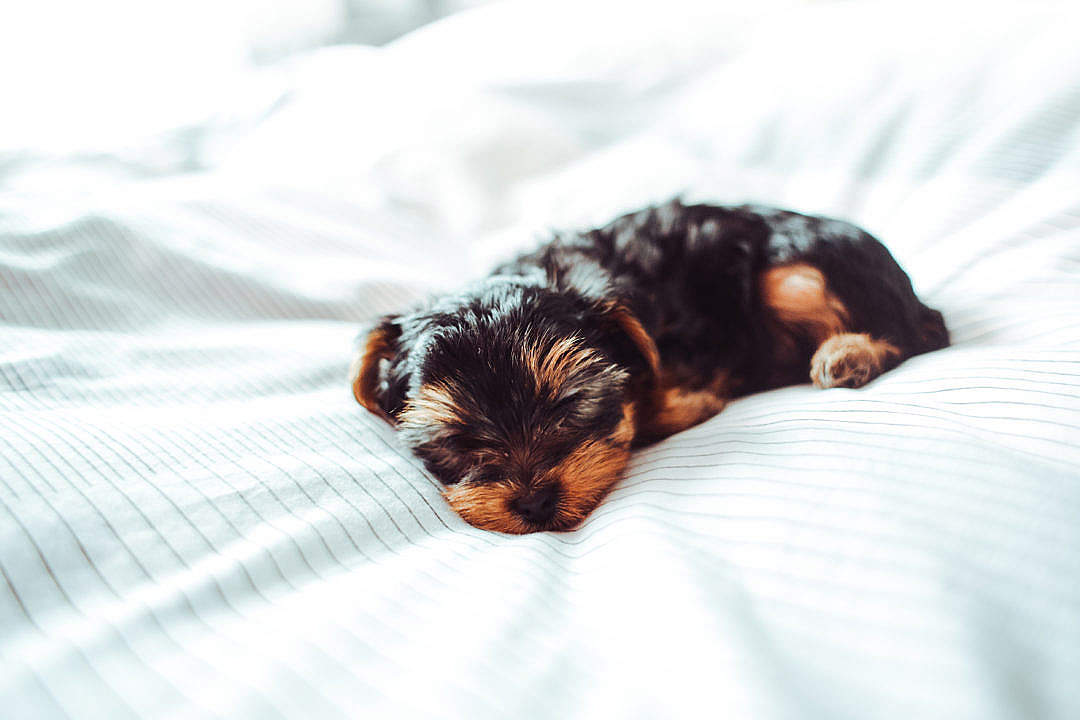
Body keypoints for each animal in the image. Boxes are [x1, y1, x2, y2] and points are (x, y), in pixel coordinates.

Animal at [352, 201, 946, 535]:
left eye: (572, 408)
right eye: (456, 442)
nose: (536, 502)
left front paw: (684, 404)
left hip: (794, 278)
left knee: (912, 333)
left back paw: (846, 356)